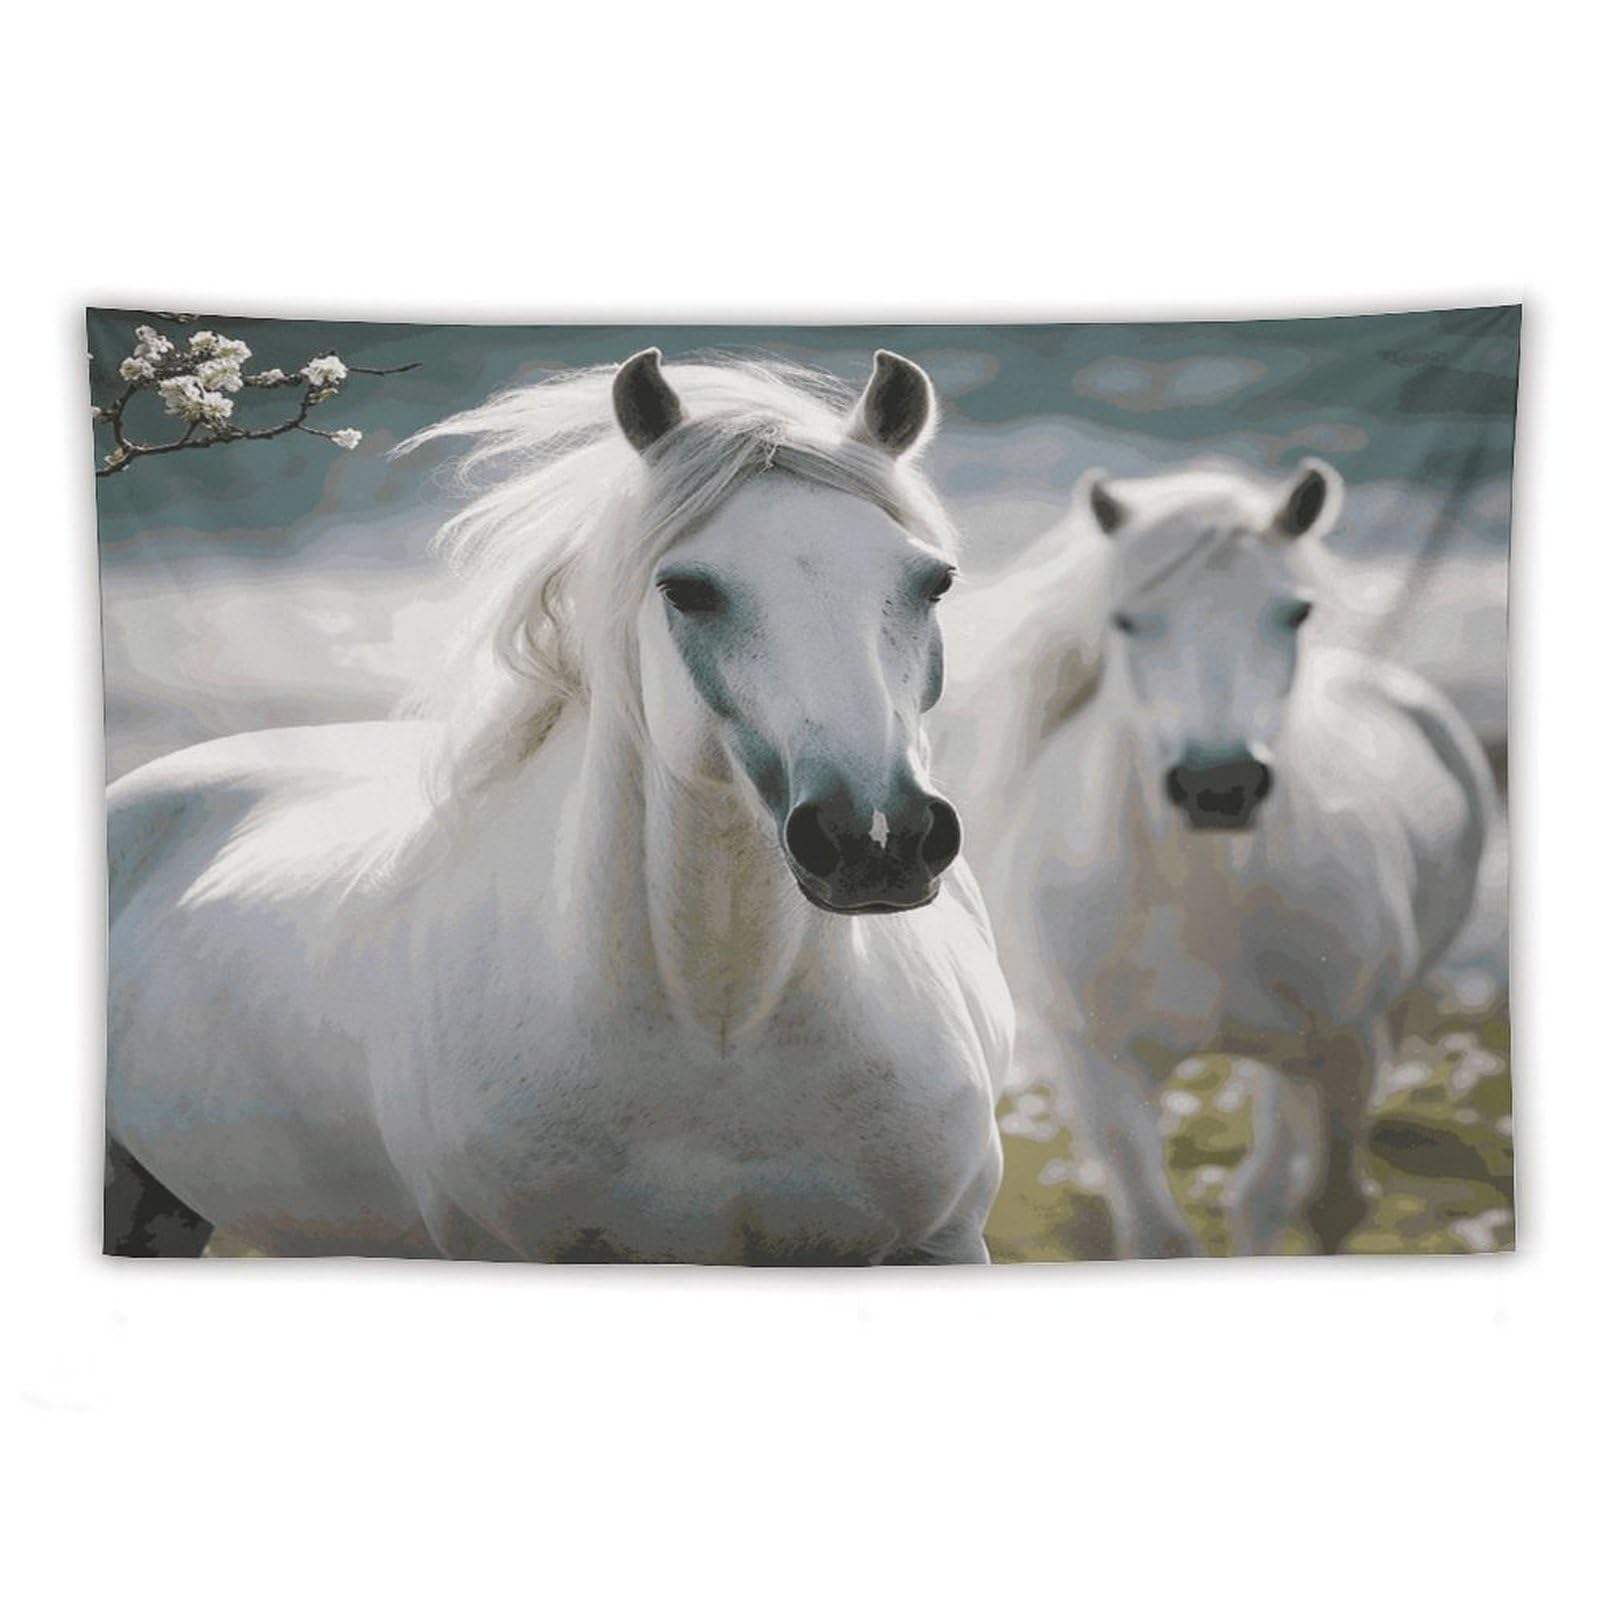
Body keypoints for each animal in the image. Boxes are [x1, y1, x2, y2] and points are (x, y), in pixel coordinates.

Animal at [939, 458, 1493, 1257]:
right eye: (1126, 620)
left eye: (1295, 613)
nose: (1218, 786)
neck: (1201, 899)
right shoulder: (1099, 1071)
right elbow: (1160, 1234)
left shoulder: (1341, 1050)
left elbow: (1325, 1205)